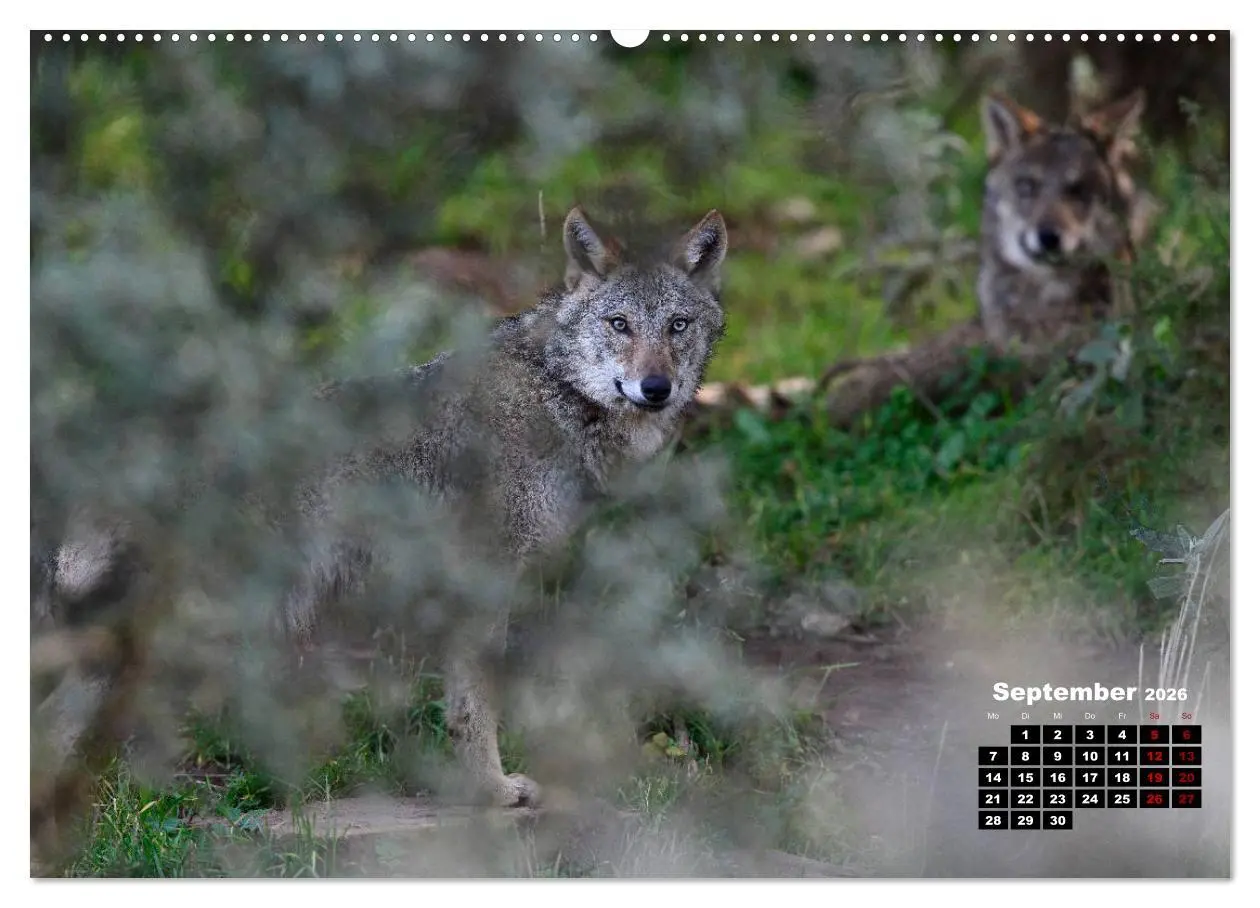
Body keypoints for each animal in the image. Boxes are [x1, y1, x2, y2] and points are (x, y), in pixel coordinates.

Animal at [34, 206, 729, 812]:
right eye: (620, 324)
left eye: (677, 326)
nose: (656, 388)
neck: (554, 395)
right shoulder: (484, 582)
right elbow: (476, 707)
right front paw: (493, 792)